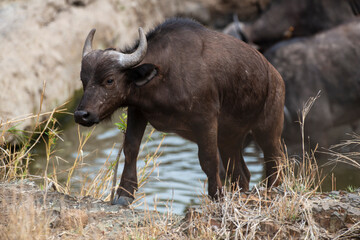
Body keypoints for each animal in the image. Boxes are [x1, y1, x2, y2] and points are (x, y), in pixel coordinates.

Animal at [74, 19, 286, 206]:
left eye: (109, 80)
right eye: (83, 79)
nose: (81, 115)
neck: (164, 75)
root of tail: (276, 76)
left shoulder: (206, 120)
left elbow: (208, 159)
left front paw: (217, 196)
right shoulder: (137, 111)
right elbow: (131, 148)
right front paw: (124, 194)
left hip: (268, 129)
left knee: (275, 162)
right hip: (229, 138)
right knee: (241, 173)